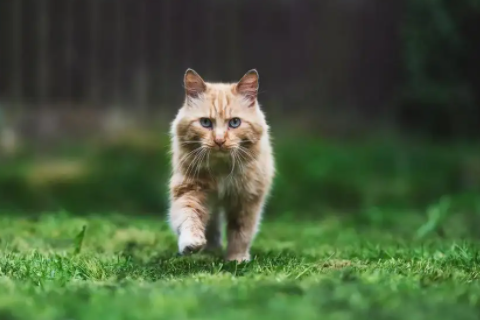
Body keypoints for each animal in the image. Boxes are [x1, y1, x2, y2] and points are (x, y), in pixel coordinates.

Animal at [168, 69, 274, 262]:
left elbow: (241, 232)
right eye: (205, 122)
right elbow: (189, 217)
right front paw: (191, 244)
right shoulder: (189, 189)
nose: (219, 140)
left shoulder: (247, 199)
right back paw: (211, 249)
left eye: (234, 122)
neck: (221, 171)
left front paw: (236, 259)